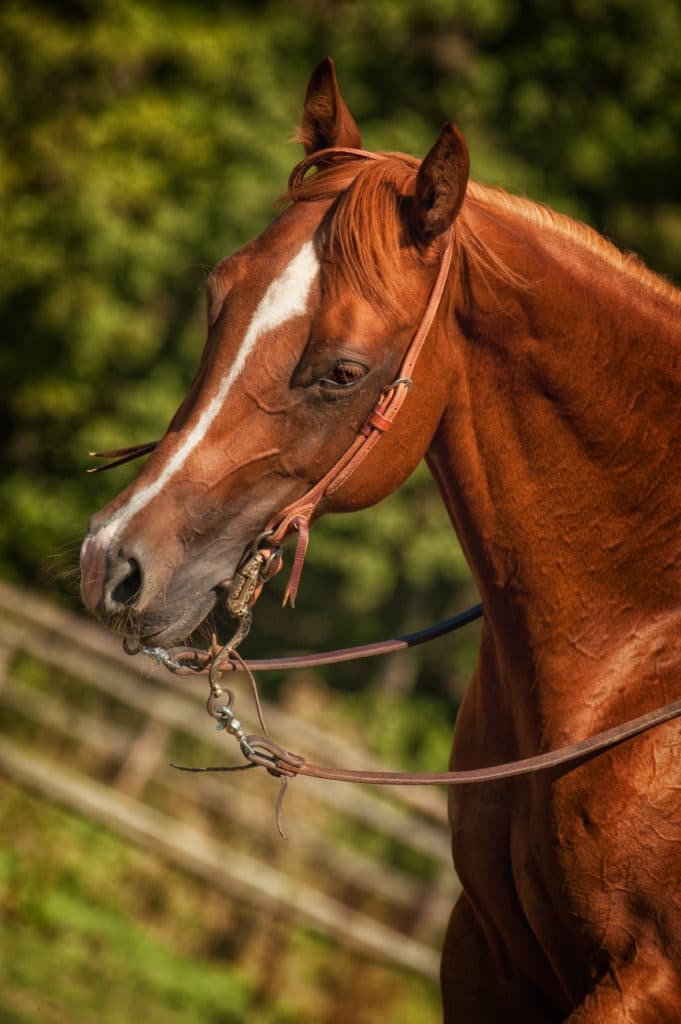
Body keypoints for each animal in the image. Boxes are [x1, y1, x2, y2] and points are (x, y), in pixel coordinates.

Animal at [78, 59, 679, 1019]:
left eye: (342, 371)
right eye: (216, 298)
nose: (113, 561)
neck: (642, 645)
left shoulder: (645, 979)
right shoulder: (486, 953)